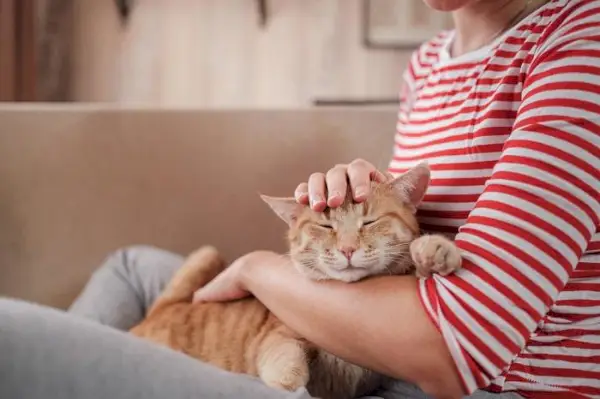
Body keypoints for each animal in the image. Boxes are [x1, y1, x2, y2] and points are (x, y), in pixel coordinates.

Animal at [129, 163, 462, 399]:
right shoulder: (280, 334)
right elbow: (286, 358)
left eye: (369, 222)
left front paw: (437, 249)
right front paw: (286, 384)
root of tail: (161, 311)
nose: (347, 249)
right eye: (325, 226)